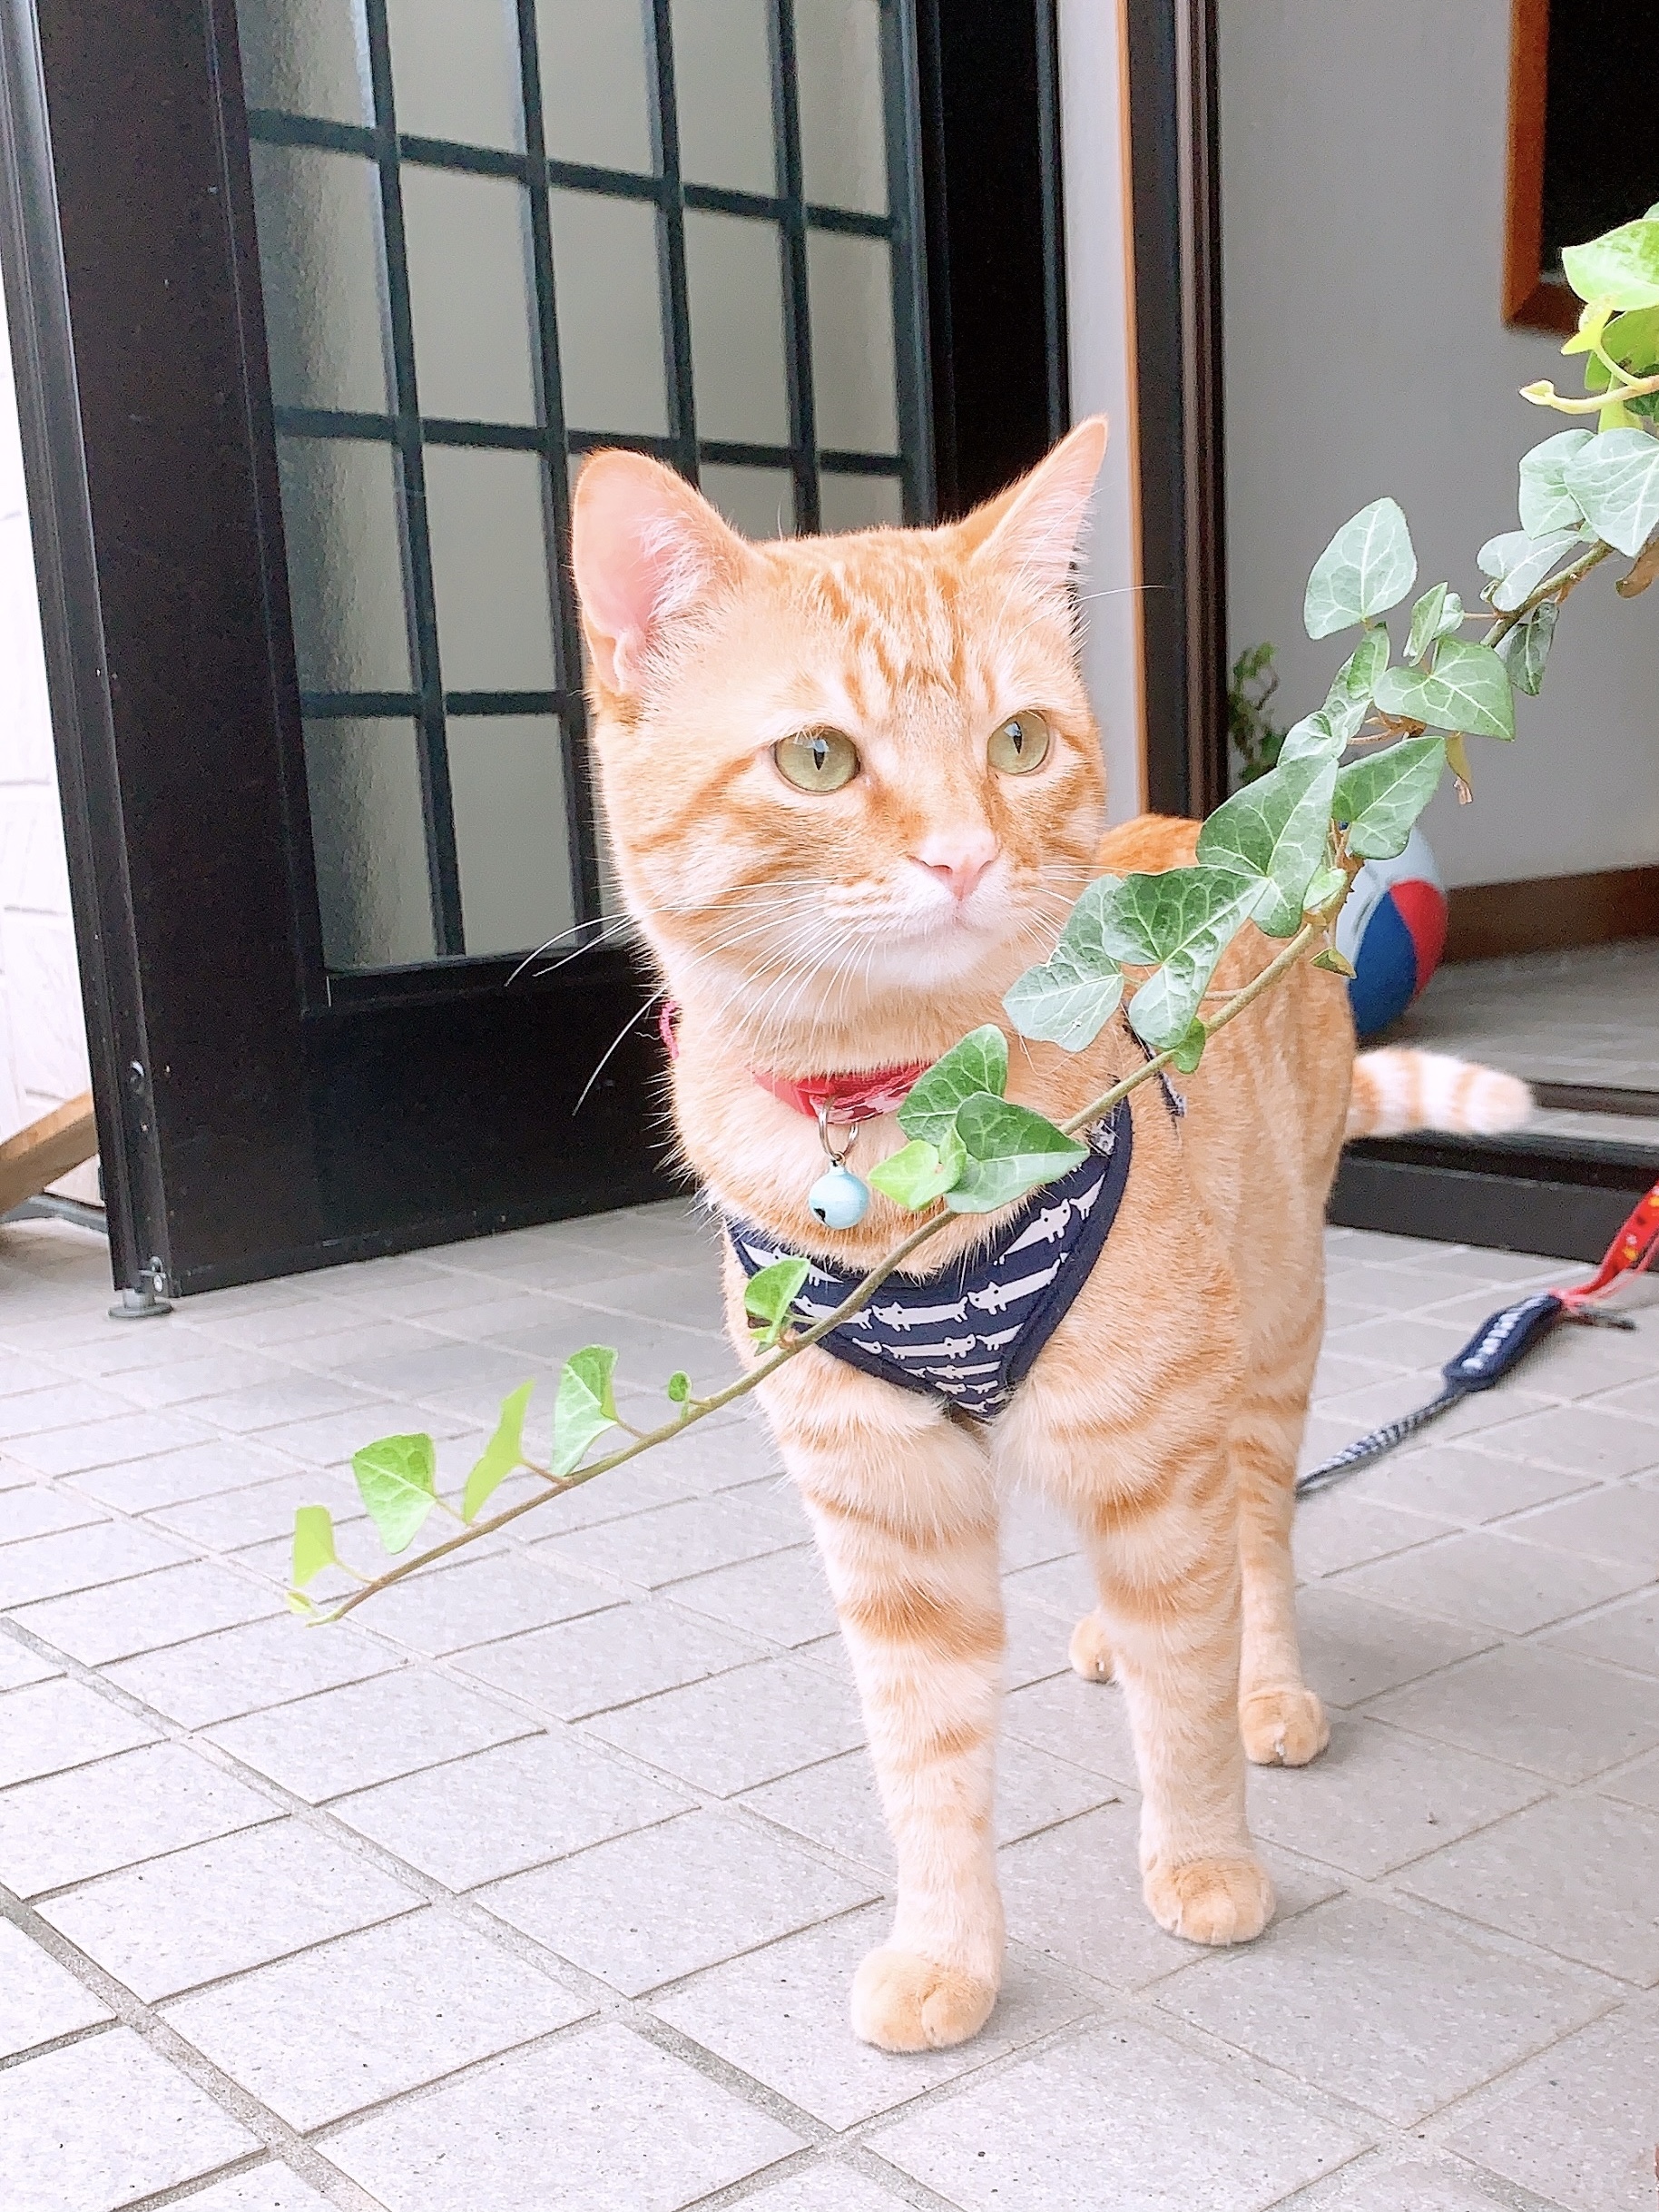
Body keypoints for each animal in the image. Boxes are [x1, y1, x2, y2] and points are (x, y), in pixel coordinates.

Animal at [570, 419, 1531, 2054]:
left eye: (1017, 743)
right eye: (818, 759)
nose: (963, 857)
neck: (909, 1118)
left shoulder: (1155, 1444)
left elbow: (1185, 1696)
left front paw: (1203, 1860)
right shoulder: (885, 1518)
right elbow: (927, 1761)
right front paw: (949, 1951)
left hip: (1264, 1331)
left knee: (1255, 1536)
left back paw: (1262, 1681)